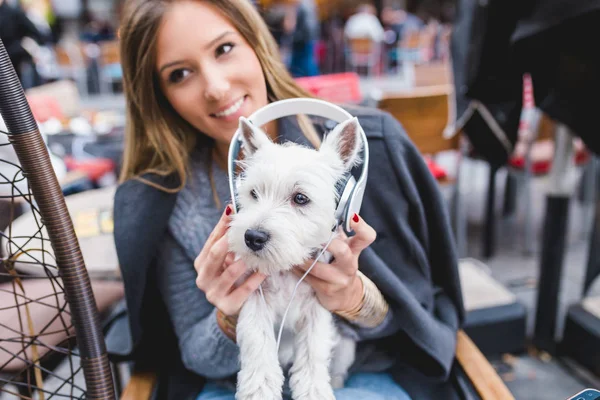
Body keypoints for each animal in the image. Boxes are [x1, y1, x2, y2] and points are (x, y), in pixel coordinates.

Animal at [229, 116, 360, 400]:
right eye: (253, 193)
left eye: (300, 198)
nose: (253, 237)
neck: (285, 268)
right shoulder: (256, 302)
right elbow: (258, 347)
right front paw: (259, 392)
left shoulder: (316, 310)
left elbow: (313, 354)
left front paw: (315, 392)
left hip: (346, 345)